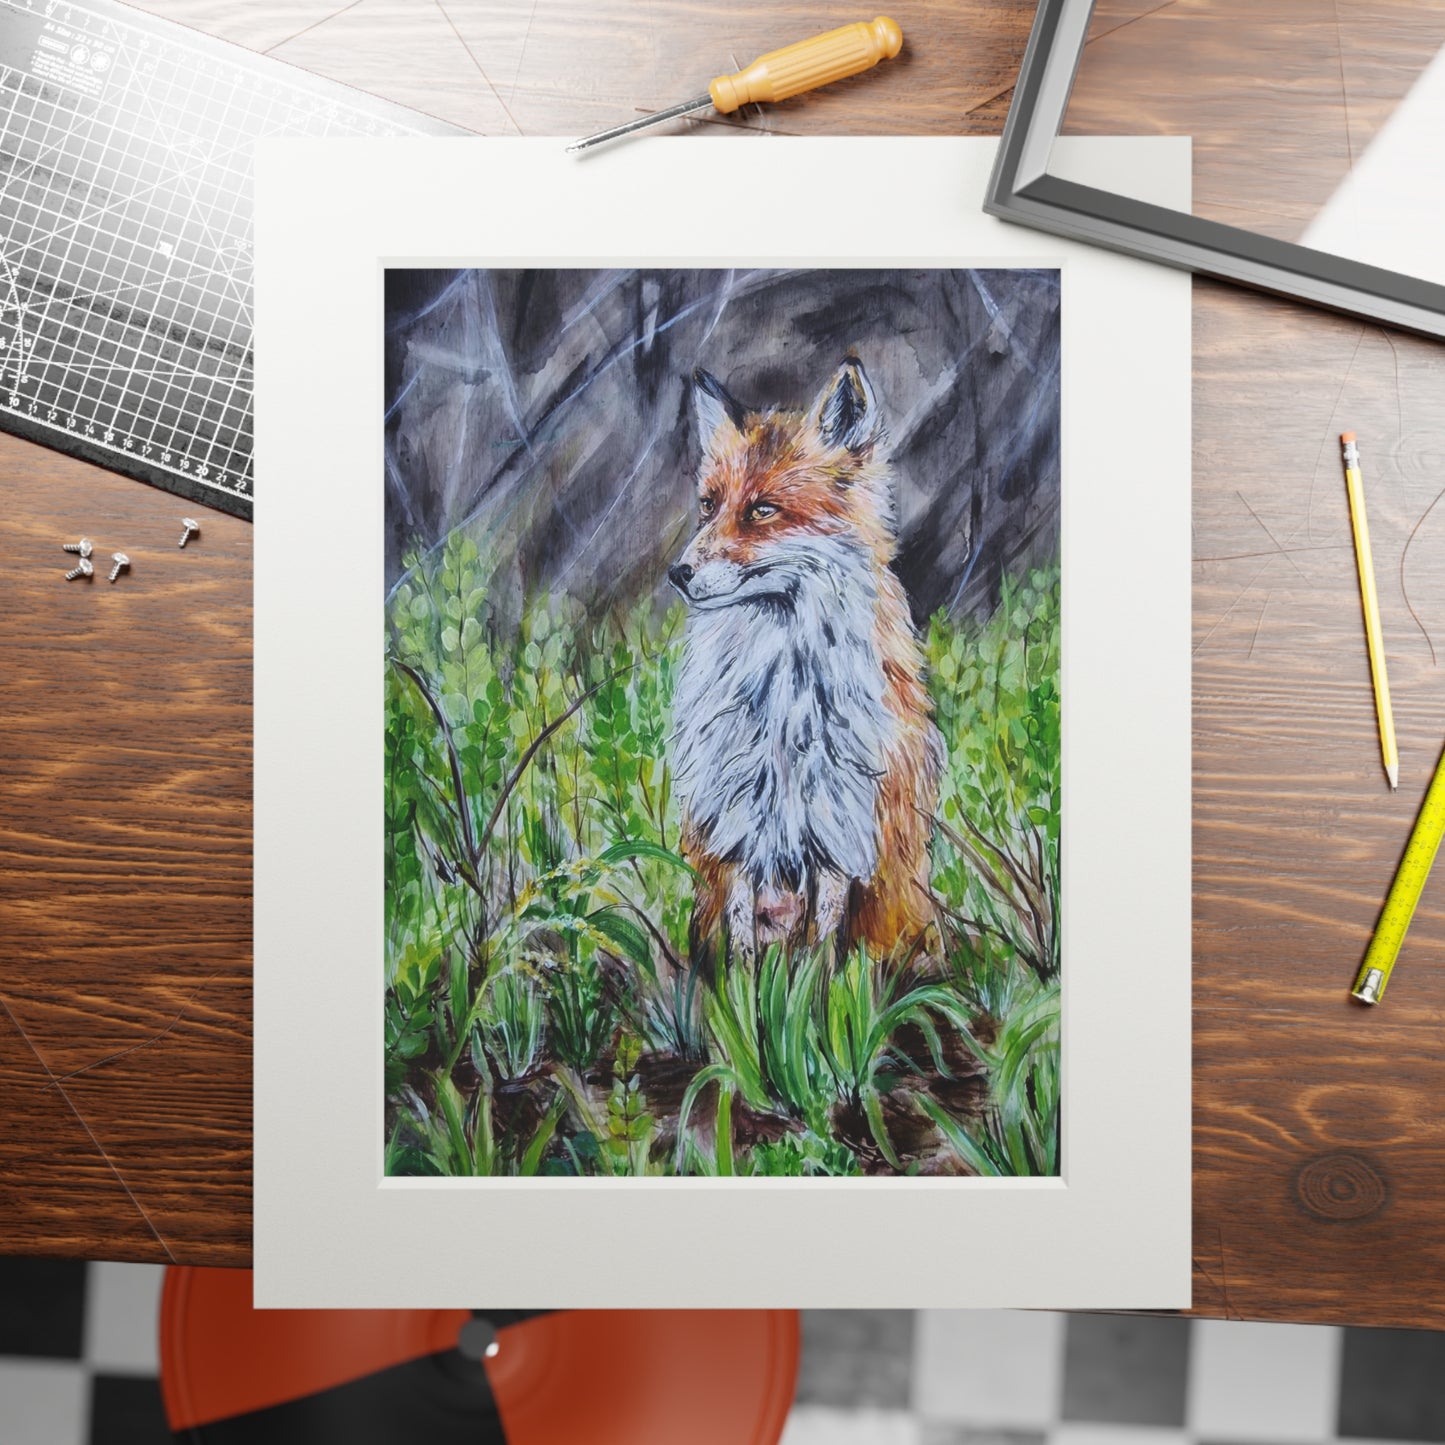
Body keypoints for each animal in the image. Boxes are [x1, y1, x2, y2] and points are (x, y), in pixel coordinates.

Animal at [667, 357, 943, 969]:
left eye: (763, 510)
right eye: (708, 504)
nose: (678, 573)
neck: (783, 697)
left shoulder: (840, 831)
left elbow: (821, 957)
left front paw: (814, 992)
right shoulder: (736, 830)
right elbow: (744, 957)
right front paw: (747, 997)